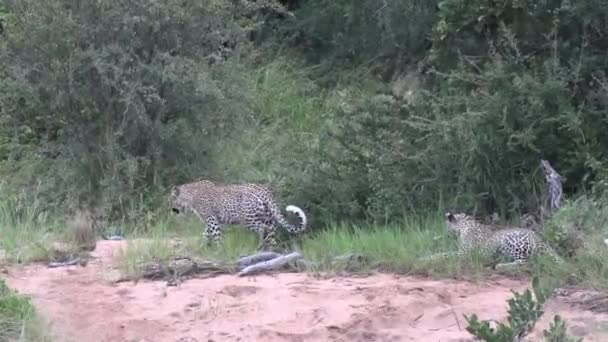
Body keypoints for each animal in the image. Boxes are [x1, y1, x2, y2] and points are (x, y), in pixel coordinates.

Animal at [167, 180, 306, 250]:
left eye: (172, 200)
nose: (172, 210)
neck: (190, 197)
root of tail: (264, 190)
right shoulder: (211, 220)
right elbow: (205, 234)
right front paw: (201, 247)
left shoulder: (211, 219)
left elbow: (216, 235)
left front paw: (220, 250)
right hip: (267, 217)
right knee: (271, 232)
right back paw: (271, 249)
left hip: (248, 219)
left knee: (262, 228)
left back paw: (260, 246)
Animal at [422, 211, 560, 270]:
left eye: (446, 225)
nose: (446, 233)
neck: (464, 226)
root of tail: (540, 240)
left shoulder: (465, 253)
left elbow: (443, 254)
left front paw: (425, 258)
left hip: (511, 241)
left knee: (525, 262)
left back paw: (500, 266)